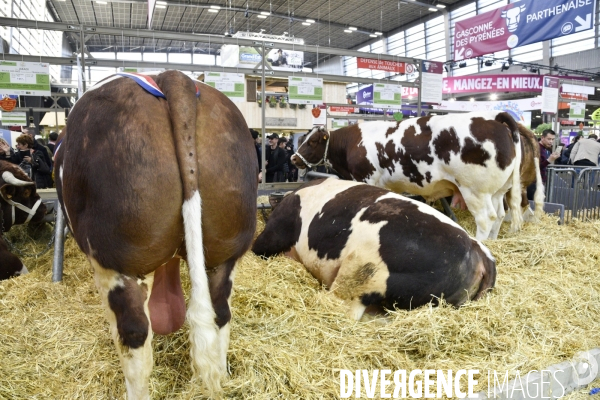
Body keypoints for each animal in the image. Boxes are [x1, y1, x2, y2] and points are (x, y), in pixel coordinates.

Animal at [292, 111, 524, 239]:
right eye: (303, 138)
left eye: (313, 142)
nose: (294, 158)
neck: (352, 142)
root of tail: (494, 118)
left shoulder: (366, 178)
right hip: (497, 190)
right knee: (499, 215)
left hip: (474, 190)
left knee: (486, 219)